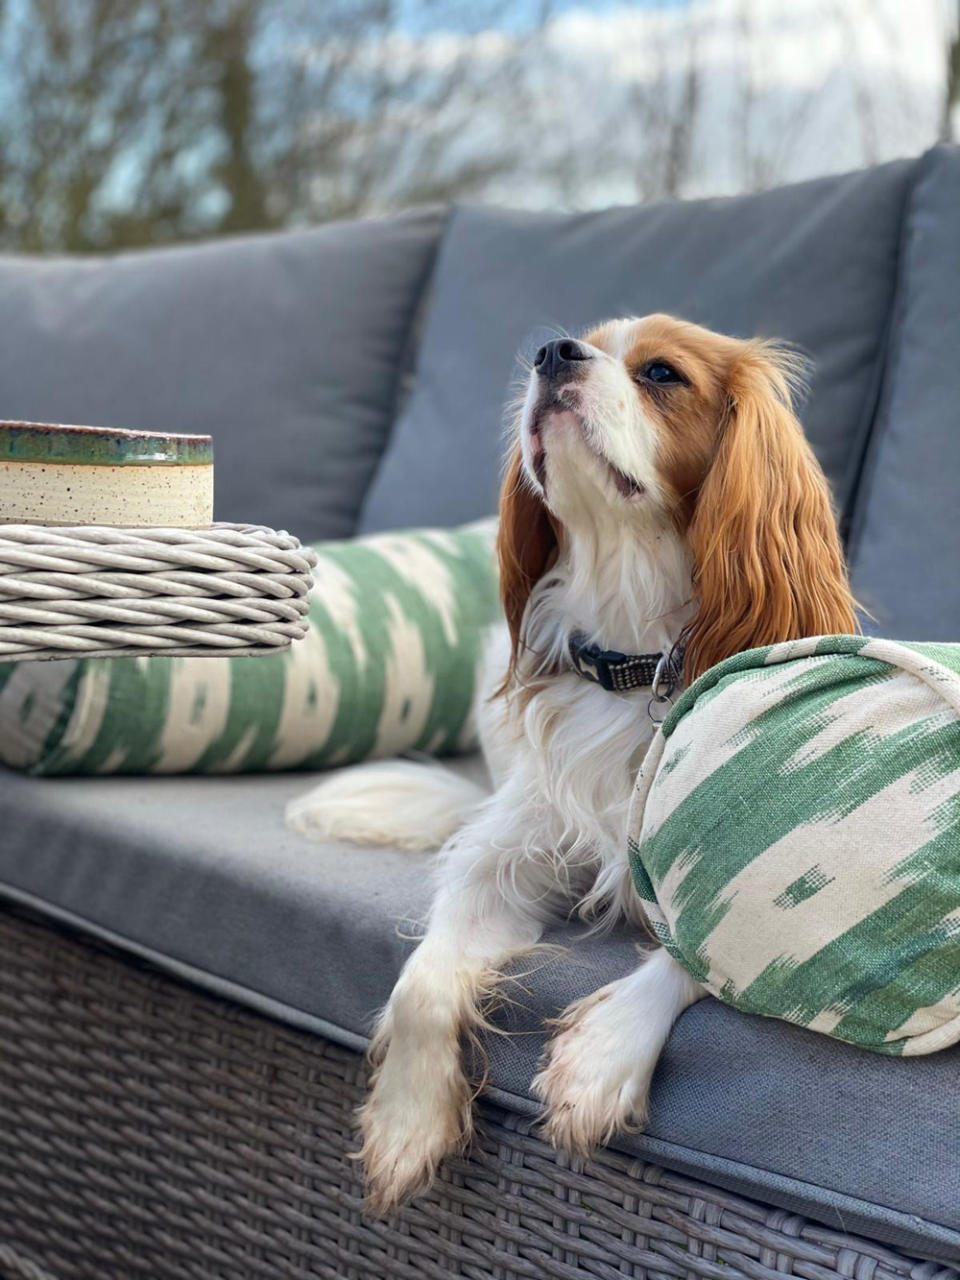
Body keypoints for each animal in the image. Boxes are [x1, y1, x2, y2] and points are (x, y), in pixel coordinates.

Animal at [289, 317, 860, 1208]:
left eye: (661, 373)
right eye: (579, 342)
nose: (552, 352)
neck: (635, 658)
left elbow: (693, 957)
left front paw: (603, 1054)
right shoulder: (500, 861)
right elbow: (422, 981)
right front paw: (407, 1120)